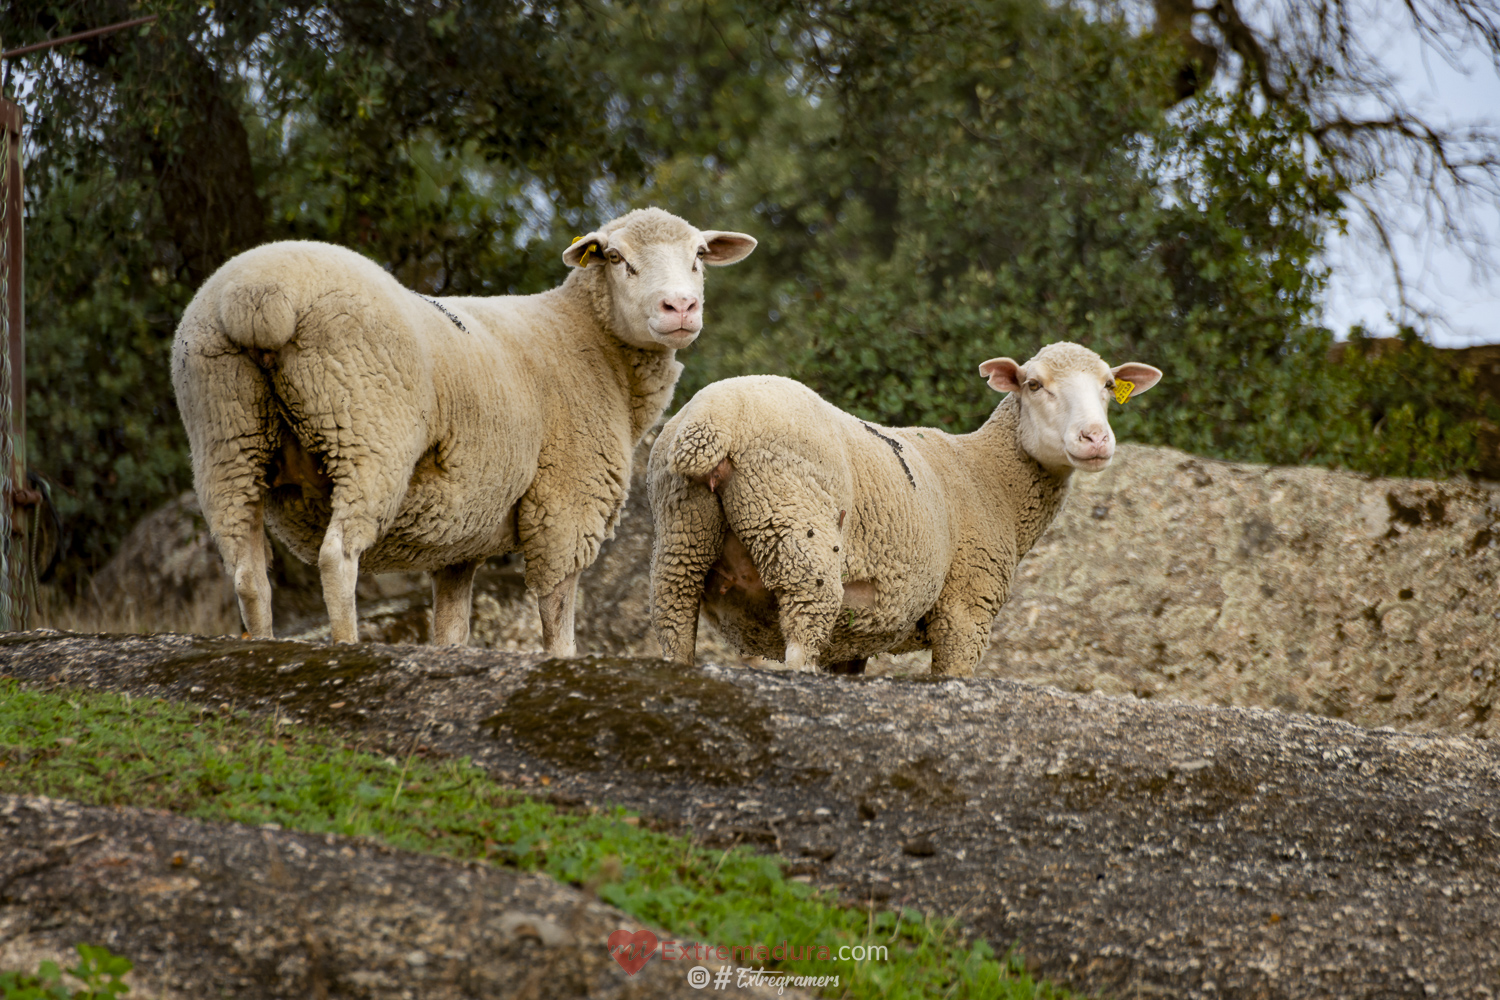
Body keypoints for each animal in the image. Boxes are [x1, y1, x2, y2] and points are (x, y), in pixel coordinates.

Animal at [171, 206, 756, 653]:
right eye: (615, 258)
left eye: (698, 256)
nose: (680, 306)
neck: (586, 338)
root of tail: (256, 295)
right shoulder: (567, 503)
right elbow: (558, 620)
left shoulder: (460, 535)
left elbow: (451, 626)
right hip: (365, 433)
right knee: (337, 556)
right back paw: (346, 645)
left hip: (224, 432)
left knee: (248, 572)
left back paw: (262, 646)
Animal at [645, 340, 1158, 677]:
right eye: (1033, 384)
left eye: (1109, 385)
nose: (1095, 438)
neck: (989, 476)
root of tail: (710, 423)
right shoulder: (966, 609)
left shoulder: (854, 637)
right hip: (793, 523)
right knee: (801, 641)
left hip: (681, 531)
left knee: (674, 621)